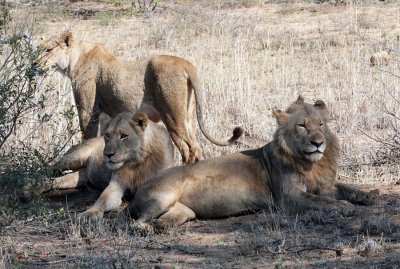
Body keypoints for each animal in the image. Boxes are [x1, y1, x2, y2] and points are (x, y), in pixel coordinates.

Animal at [25, 111, 174, 218]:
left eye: (124, 136)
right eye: (107, 135)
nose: (108, 154)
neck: (135, 163)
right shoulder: (116, 185)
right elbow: (102, 200)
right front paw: (88, 214)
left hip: (81, 177)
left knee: (59, 181)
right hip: (73, 159)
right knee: (48, 170)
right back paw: (29, 188)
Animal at [37, 32, 242, 164]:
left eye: (48, 50)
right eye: (39, 49)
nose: (34, 62)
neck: (74, 58)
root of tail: (187, 65)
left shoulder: (88, 110)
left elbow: (86, 137)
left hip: (172, 117)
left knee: (189, 148)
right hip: (188, 116)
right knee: (196, 147)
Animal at [130, 96, 380, 230]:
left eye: (321, 125)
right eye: (302, 126)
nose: (318, 143)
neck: (311, 163)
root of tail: (140, 188)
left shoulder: (325, 184)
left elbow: (348, 188)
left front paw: (370, 196)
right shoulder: (289, 197)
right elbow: (321, 201)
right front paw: (344, 207)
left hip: (183, 212)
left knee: (167, 220)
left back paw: (157, 228)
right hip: (164, 196)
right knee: (136, 221)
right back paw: (143, 228)